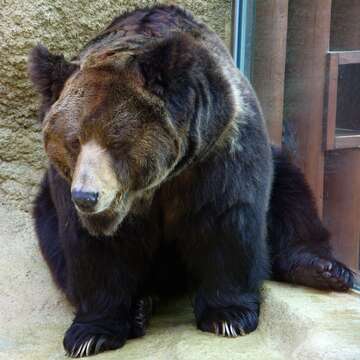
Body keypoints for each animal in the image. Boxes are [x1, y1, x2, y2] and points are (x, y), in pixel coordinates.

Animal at [28, 4, 354, 358]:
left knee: (292, 195)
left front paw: (228, 315)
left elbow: (225, 219)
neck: (157, 181)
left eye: (116, 141)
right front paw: (92, 333)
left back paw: (325, 269)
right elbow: (94, 245)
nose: (86, 196)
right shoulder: (70, 186)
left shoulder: (218, 148)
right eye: (74, 141)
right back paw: (141, 307)